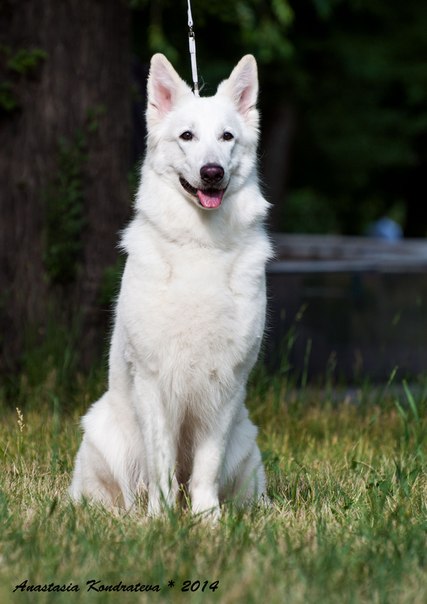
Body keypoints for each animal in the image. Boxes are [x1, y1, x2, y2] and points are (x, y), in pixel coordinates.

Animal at [69, 53, 272, 520]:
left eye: (227, 137)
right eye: (187, 136)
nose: (212, 172)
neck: (200, 245)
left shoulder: (225, 385)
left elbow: (206, 466)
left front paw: (206, 520)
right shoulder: (154, 382)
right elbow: (160, 462)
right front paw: (161, 521)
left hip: (247, 444)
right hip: (102, 435)